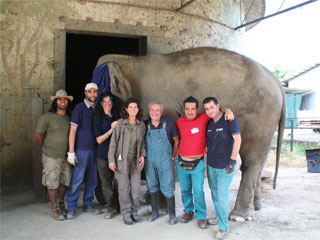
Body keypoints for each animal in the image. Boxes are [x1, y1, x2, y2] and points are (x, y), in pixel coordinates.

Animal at [95, 47, 284, 219]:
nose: (105, 201)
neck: (132, 61)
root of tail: (276, 81)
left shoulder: (162, 106)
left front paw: (161, 210)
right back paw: (256, 207)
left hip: (261, 114)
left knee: (252, 160)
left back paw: (237, 215)